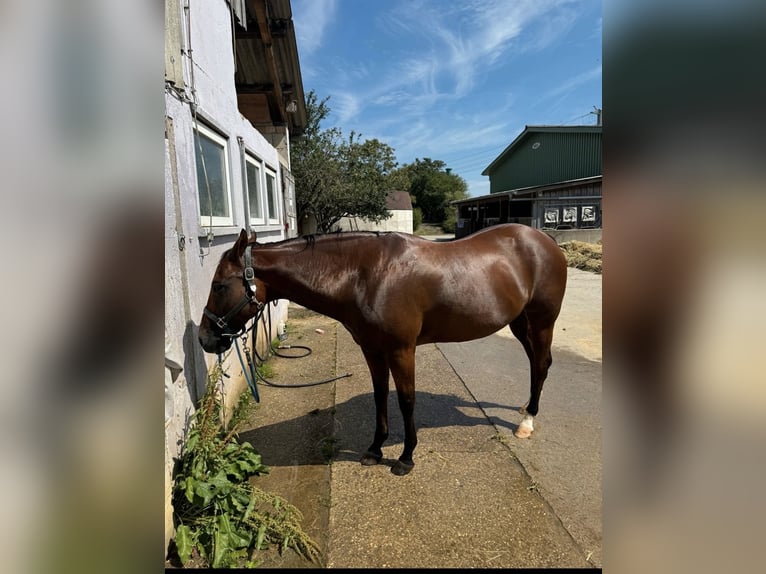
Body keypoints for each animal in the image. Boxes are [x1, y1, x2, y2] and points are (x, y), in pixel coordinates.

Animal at [198, 224, 567, 476]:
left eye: (219, 286)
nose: (205, 339)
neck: (366, 275)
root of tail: (545, 240)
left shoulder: (402, 350)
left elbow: (406, 400)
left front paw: (405, 457)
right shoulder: (373, 350)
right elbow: (380, 396)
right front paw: (375, 449)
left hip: (541, 321)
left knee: (541, 364)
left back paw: (527, 422)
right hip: (519, 322)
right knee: (535, 363)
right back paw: (525, 412)